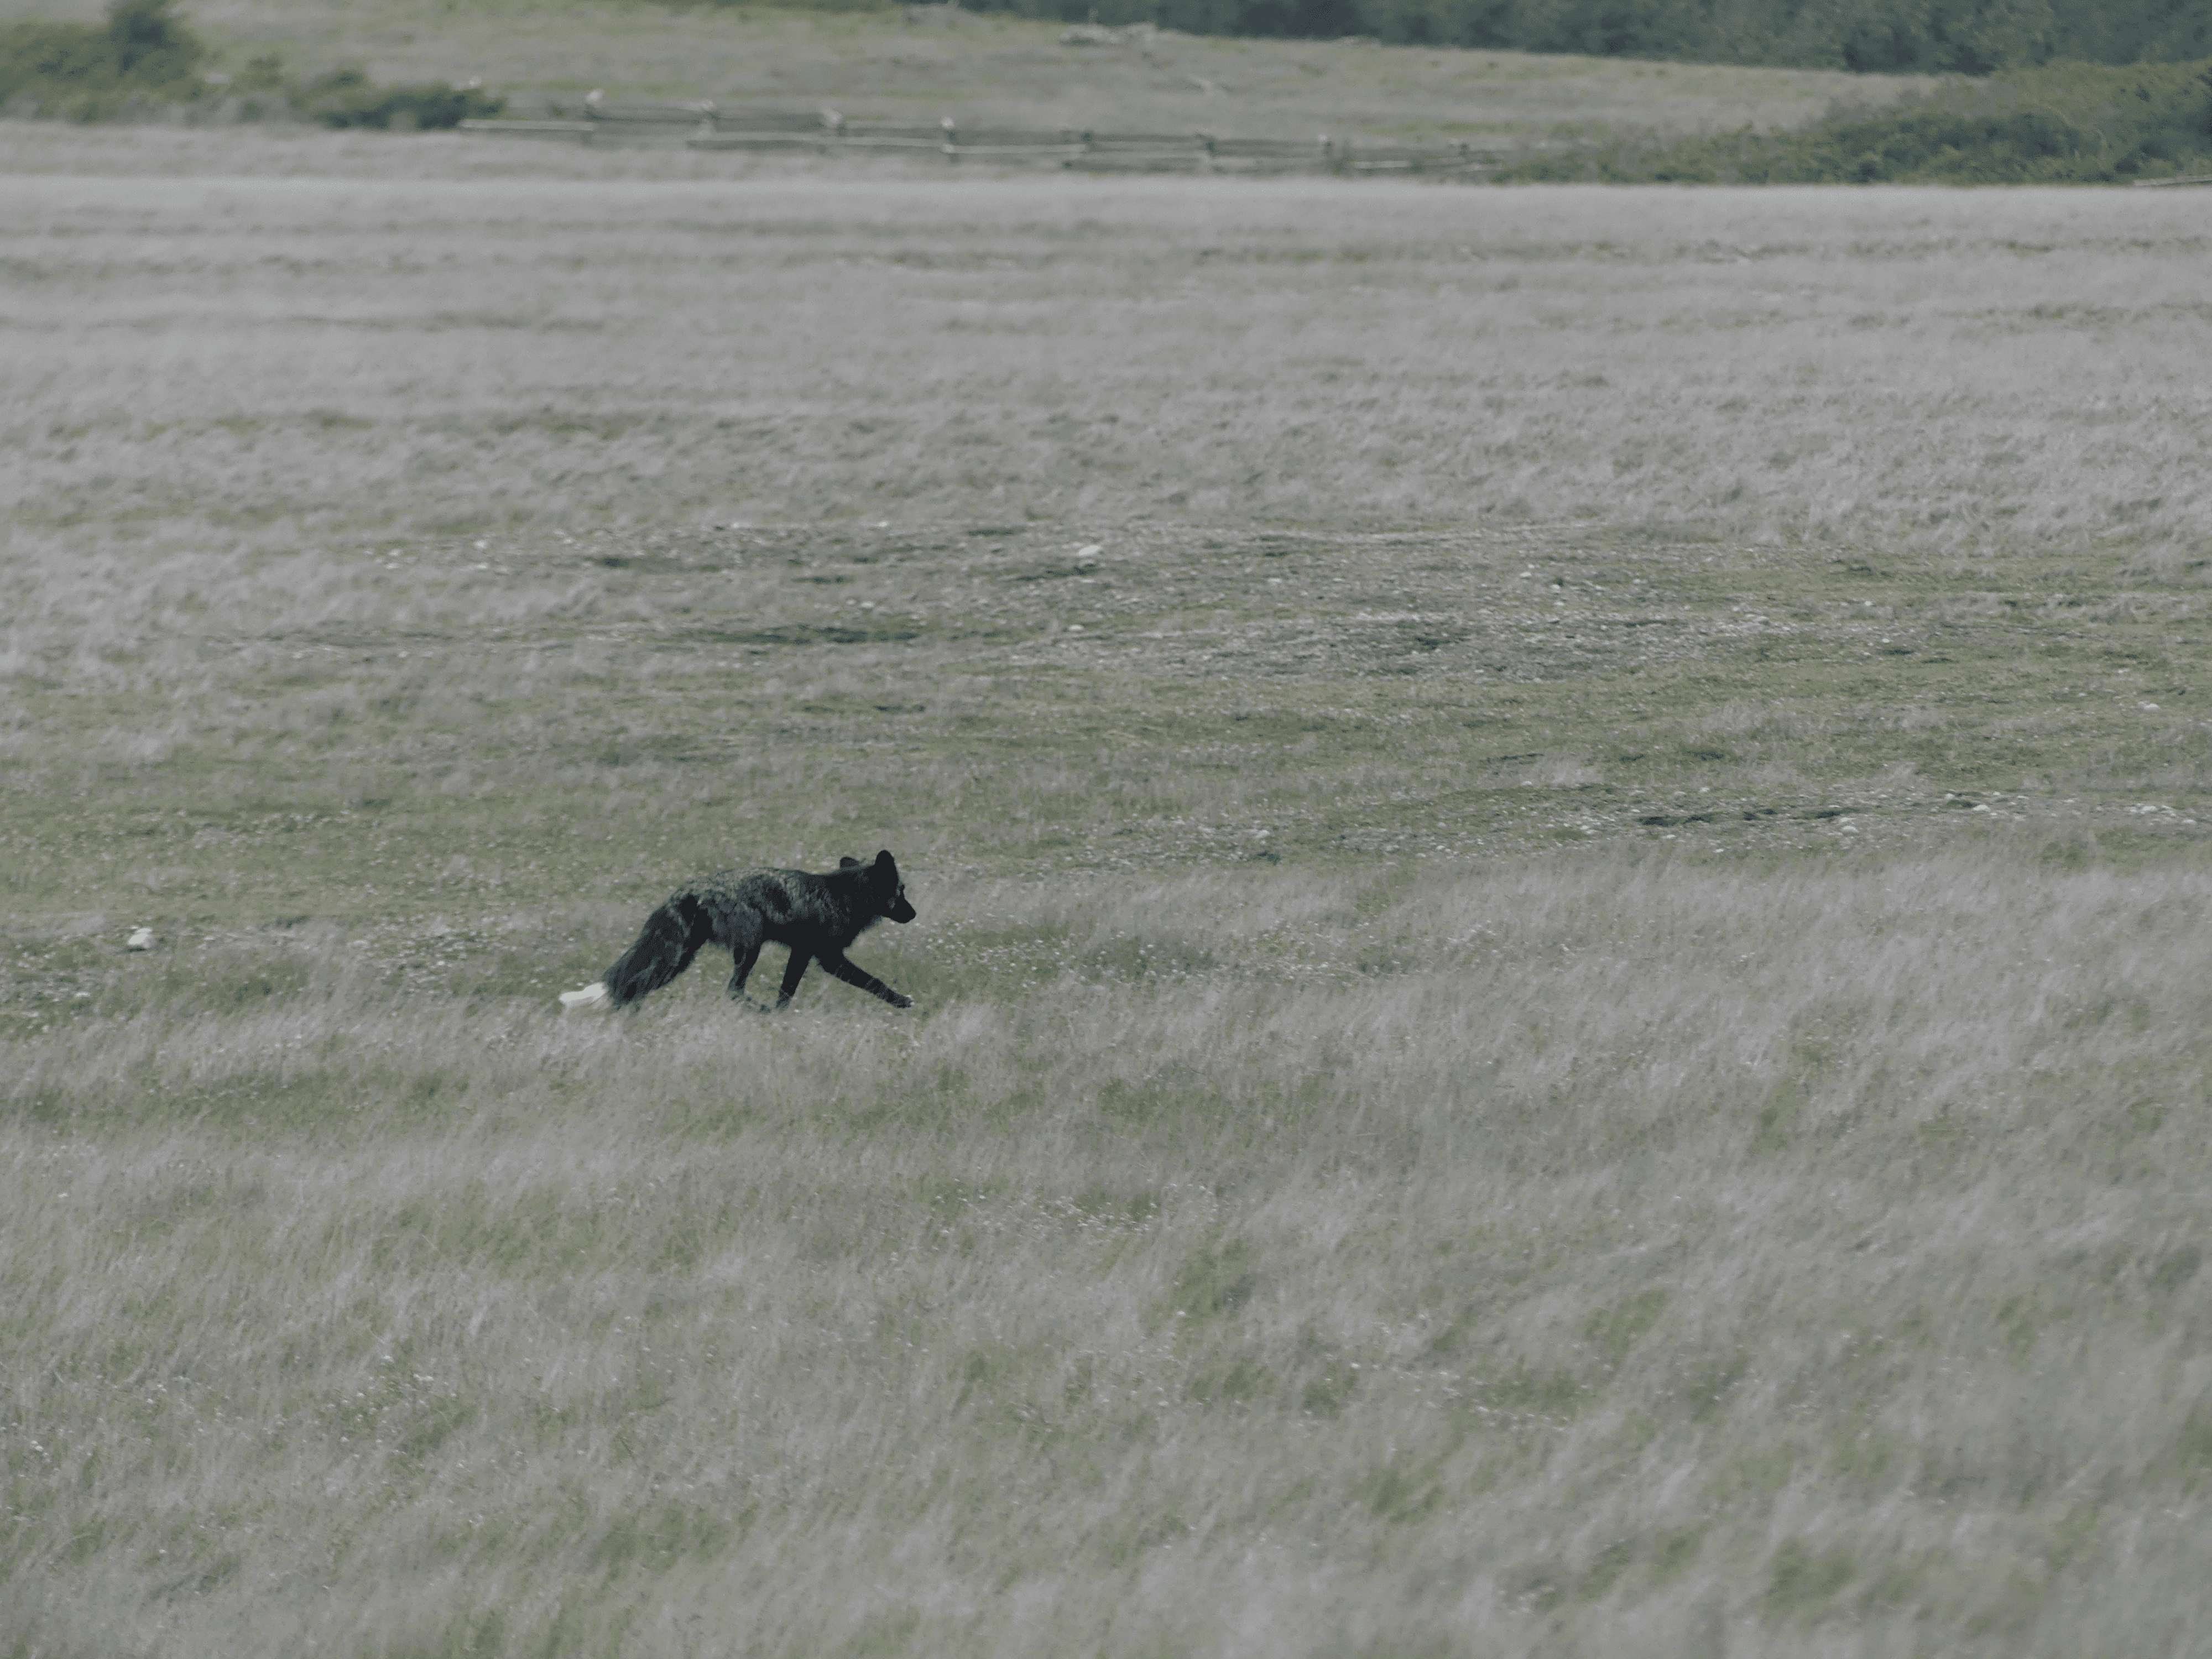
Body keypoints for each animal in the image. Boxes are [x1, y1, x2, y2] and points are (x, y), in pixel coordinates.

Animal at [559, 850, 917, 1012]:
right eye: (902, 892)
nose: (914, 914)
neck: (847, 894)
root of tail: (686, 890)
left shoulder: (802, 954)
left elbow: (787, 992)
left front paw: (781, 1017)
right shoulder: (828, 958)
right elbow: (874, 983)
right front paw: (904, 1003)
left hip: (680, 961)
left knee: (636, 987)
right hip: (748, 948)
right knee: (732, 991)